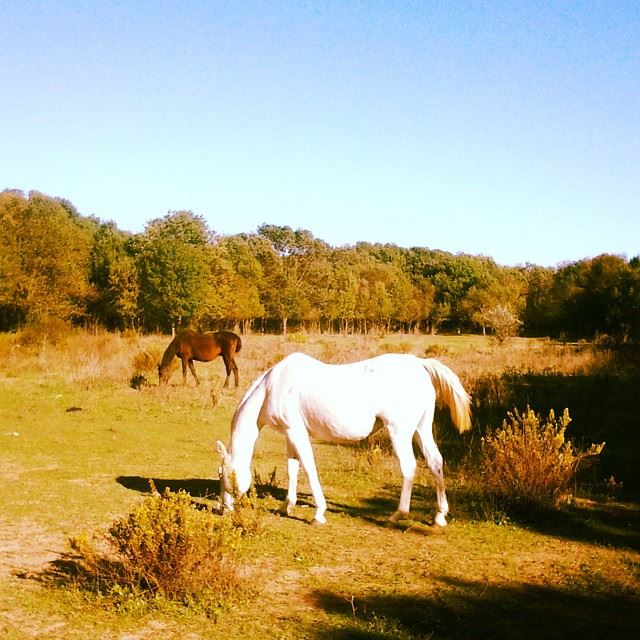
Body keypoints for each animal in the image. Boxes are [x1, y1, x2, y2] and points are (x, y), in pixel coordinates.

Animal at [218, 352, 472, 528]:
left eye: (223, 475)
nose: (223, 509)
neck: (272, 387)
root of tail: (420, 365)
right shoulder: (290, 433)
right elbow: (292, 468)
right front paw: (286, 506)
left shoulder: (297, 433)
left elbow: (308, 468)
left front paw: (318, 514)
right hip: (421, 430)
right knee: (435, 462)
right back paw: (439, 517)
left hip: (399, 432)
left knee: (409, 467)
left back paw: (395, 516)